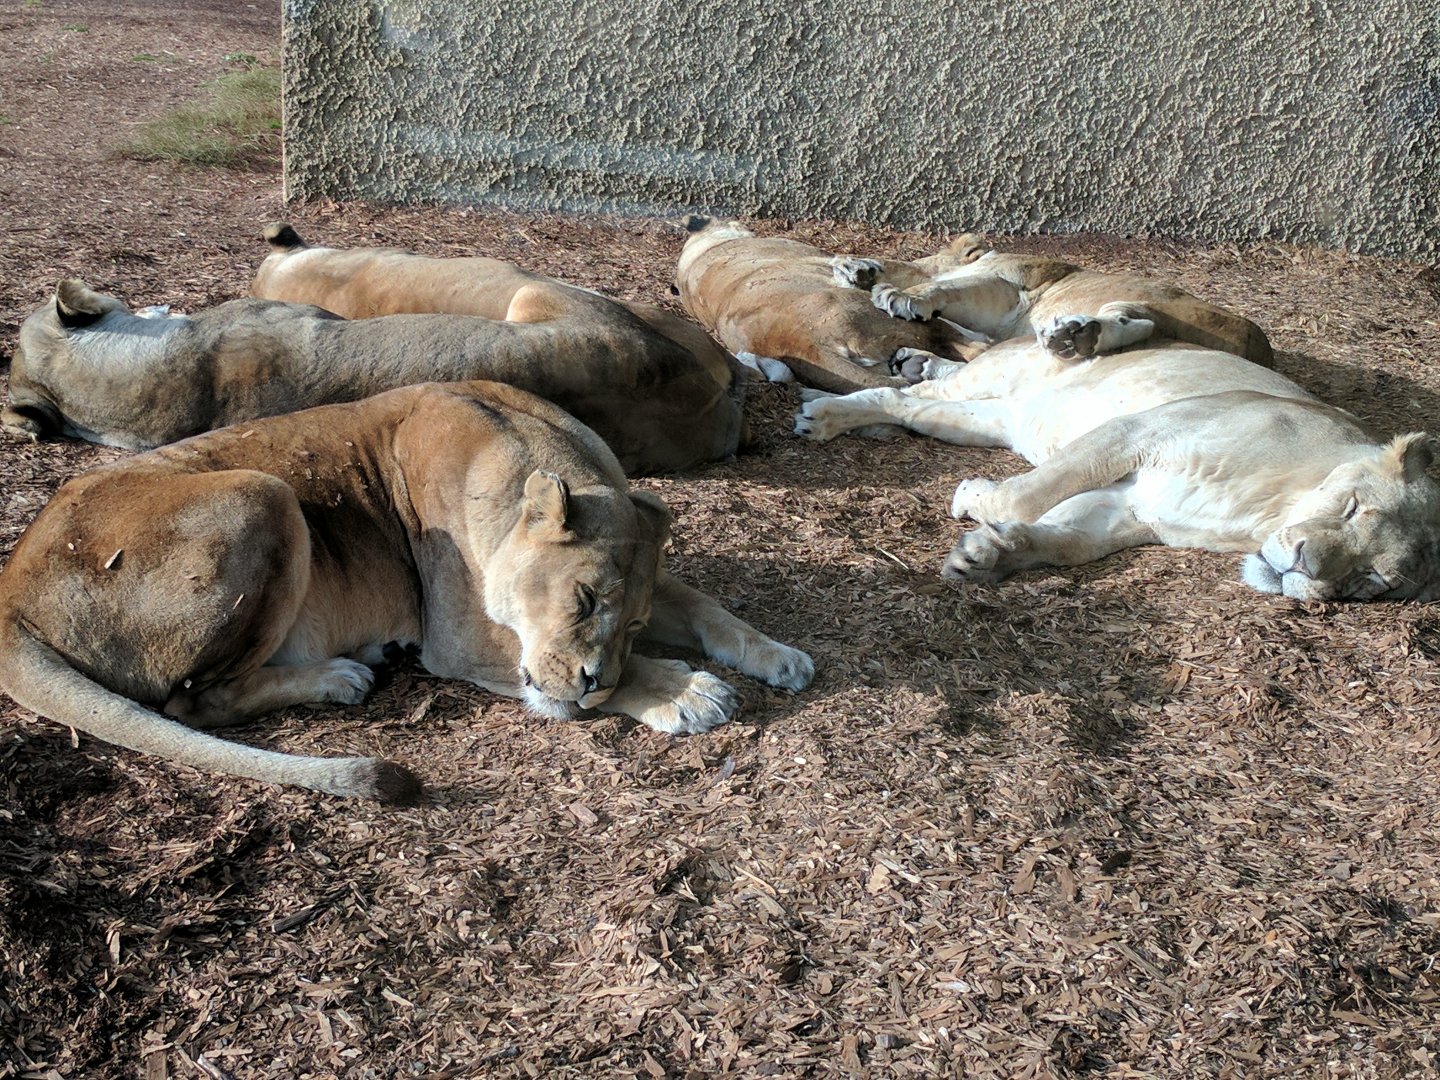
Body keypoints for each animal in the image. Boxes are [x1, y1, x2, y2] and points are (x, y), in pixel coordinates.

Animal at [0, 380, 815, 801]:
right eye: (583, 600)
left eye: (635, 620)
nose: (595, 680)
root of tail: (10, 587)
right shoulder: (457, 640)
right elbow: (575, 684)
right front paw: (680, 690)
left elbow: (707, 607)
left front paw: (778, 655)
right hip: (265, 495)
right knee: (192, 701)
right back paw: (341, 676)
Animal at [794, 315, 1439, 600]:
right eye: (1353, 508)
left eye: (1371, 581)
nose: (1303, 566)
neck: (1262, 514)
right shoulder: (1136, 431)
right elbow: (1025, 495)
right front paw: (976, 500)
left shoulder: (1132, 510)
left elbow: (1064, 540)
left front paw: (987, 554)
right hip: (992, 382)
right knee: (905, 393)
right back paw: (823, 411)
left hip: (993, 419)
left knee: (910, 407)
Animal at [831, 237, 1274, 367]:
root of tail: (1260, 350)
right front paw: (860, 269)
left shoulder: (1010, 287)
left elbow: (941, 287)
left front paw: (896, 293)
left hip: (1167, 301)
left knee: (1140, 319)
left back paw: (1075, 334)